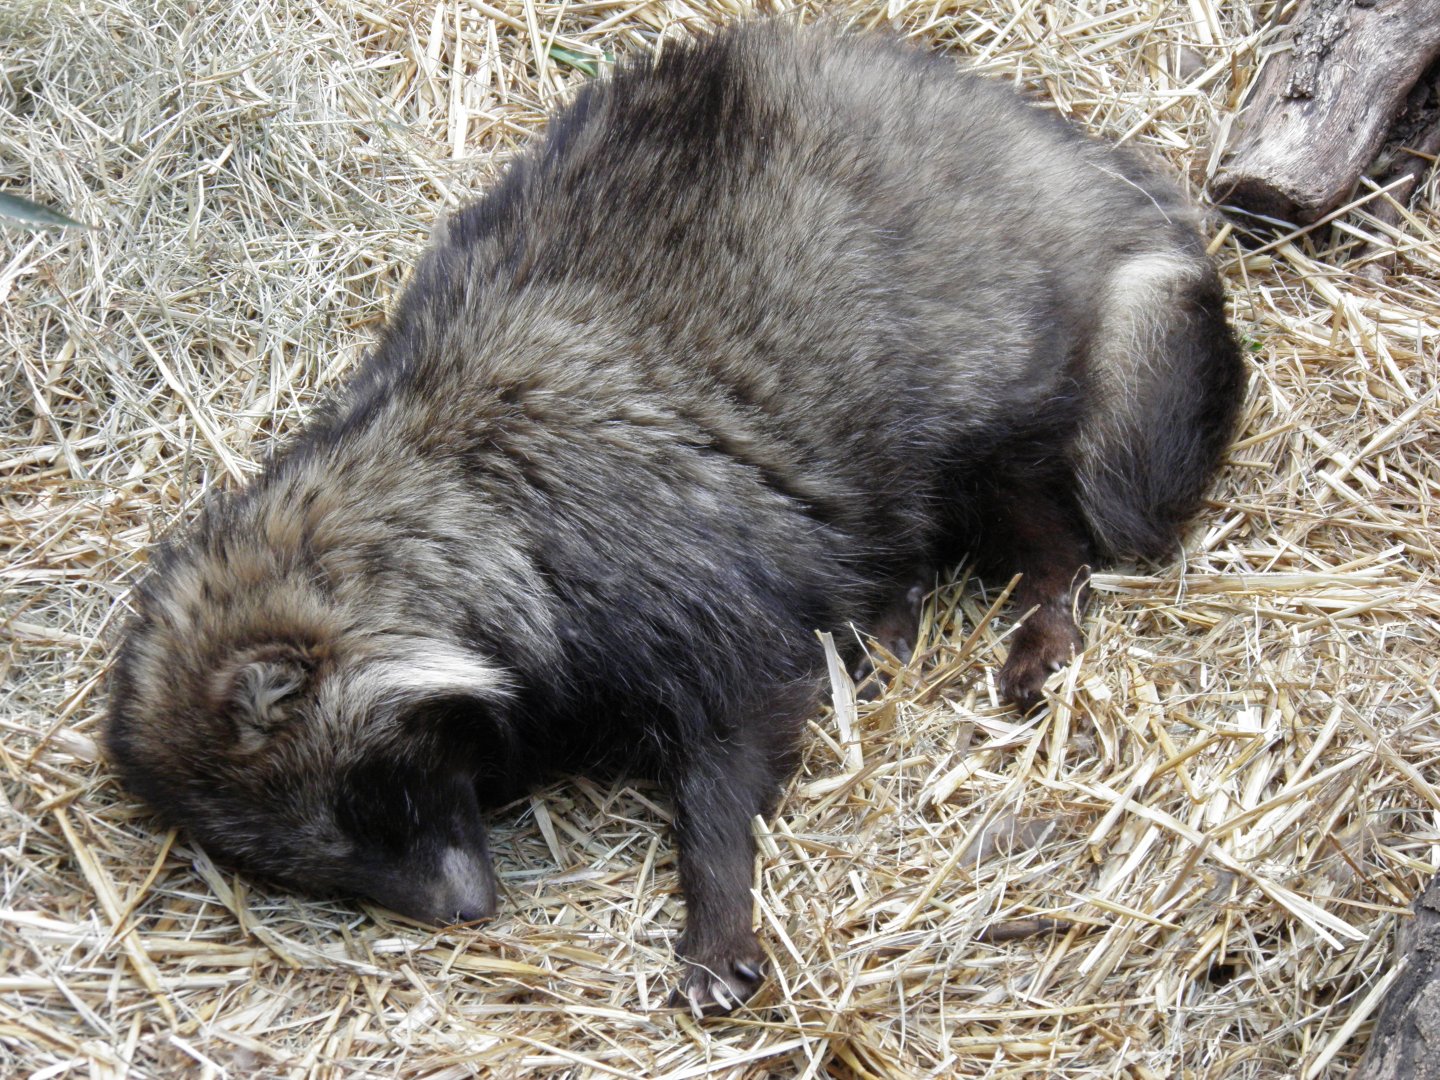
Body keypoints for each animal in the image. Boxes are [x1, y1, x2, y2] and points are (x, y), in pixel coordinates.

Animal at [105, 23, 1243, 1015]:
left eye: (374, 795)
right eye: (315, 858)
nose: (466, 911)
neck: (448, 493)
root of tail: (1090, 176)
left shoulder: (681, 584)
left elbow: (733, 742)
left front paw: (718, 906)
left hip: (994, 363)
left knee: (1055, 516)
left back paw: (1039, 612)